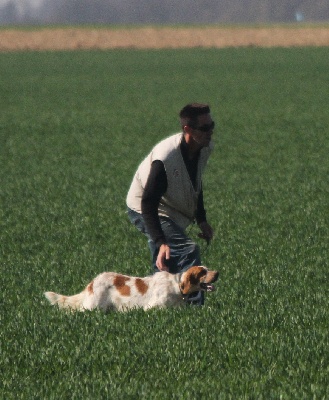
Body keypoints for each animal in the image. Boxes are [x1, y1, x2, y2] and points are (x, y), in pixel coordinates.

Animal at [43, 266, 218, 312]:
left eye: (207, 269)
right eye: (203, 272)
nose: (217, 273)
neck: (177, 286)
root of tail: (92, 282)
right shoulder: (151, 307)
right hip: (93, 307)